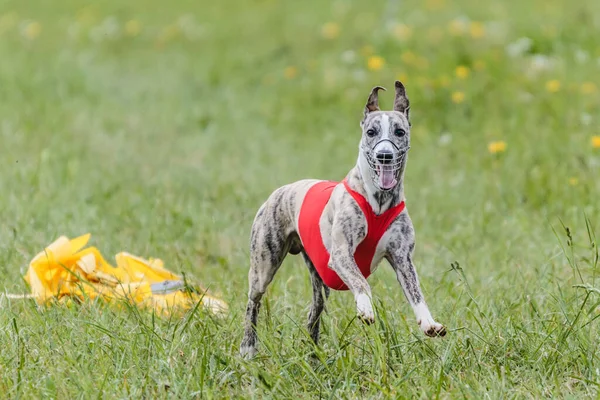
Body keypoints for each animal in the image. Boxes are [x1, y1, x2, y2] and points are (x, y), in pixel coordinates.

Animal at [240, 80, 446, 356]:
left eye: (400, 132)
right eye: (371, 132)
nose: (384, 156)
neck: (378, 202)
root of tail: (280, 190)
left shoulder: (402, 258)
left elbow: (416, 292)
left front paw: (429, 323)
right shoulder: (341, 255)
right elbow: (361, 283)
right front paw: (366, 308)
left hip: (318, 278)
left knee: (313, 313)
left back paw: (314, 355)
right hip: (264, 264)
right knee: (253, 301)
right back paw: (248, 347)